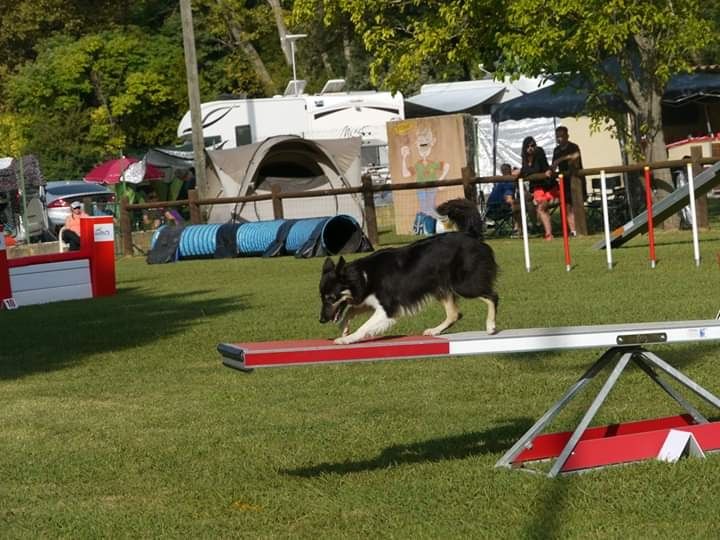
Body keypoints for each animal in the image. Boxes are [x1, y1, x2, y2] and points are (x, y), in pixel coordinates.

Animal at [318, 199, 498, 346]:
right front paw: (344, 328)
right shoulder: (369, 301)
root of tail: (470, 234)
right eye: (322, 298)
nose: (321, 320)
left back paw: (490, 325)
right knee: (455, 314)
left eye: (330, 298)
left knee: (492, 296)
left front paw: (347, 338)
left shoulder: (387, 309)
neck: (363, 275)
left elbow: (364, 326)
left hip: (462, 284)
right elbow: (350, 310)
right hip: (440, 287)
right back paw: (435, 330)